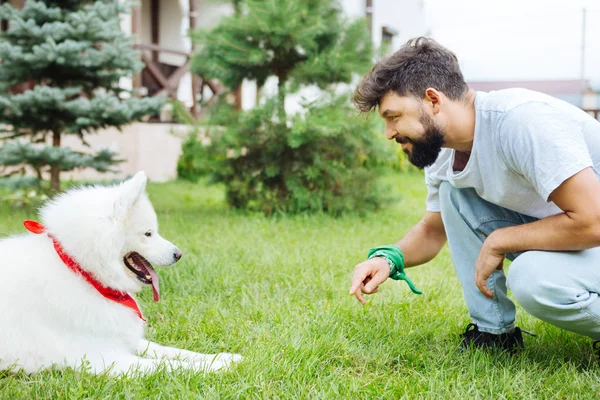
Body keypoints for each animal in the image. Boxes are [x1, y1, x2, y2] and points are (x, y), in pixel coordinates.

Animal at [0, 172, 241, 376]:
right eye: (148, 233)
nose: (178, 254)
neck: (82, 272)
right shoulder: (104, 358)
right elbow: (168, 365)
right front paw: (219, 367)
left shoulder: (124, 339)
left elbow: (173, 351)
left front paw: (222, 357)